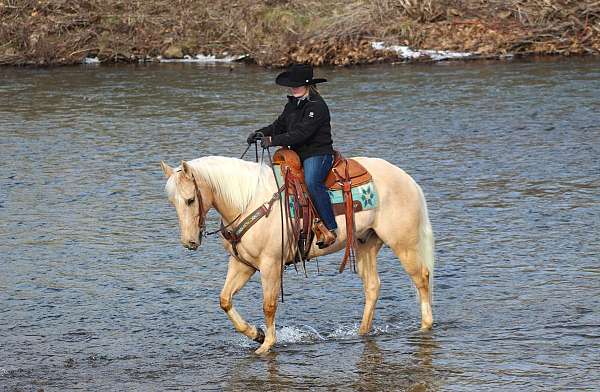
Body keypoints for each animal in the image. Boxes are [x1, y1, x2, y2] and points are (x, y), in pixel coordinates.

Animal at [159, 155, 434, 356]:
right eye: (173, 202)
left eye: (190, 199)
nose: (189, 242)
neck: (248, 201)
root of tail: (407, 179)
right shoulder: (242, 264)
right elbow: (225, 300)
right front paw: (256, 334)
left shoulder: (271, 264)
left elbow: (269, 305)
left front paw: (266, 345)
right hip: (365, 244)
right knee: (373, 286)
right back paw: (362, 331)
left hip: (403, 243)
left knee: (421, 278)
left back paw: (425, 325)